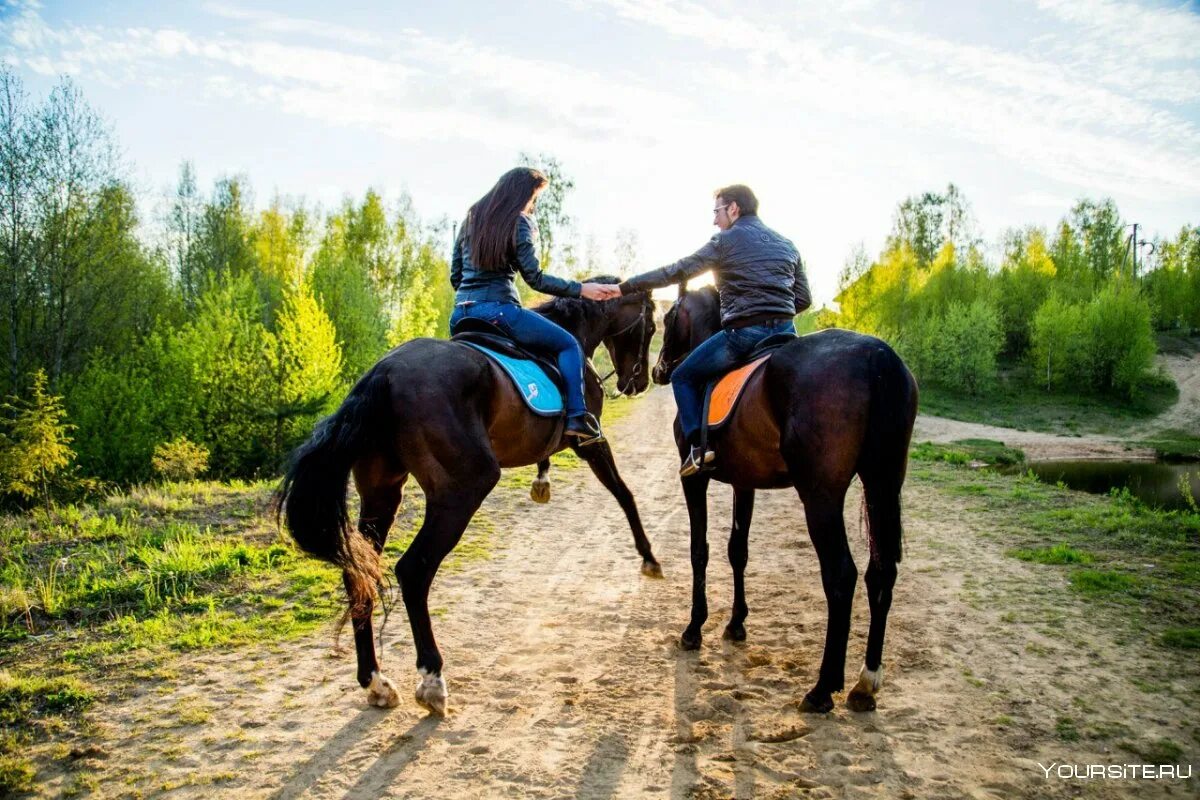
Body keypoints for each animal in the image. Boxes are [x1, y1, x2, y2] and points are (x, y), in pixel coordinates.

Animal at [277, 281, 662, 714]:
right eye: (651, 326)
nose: (638, 383)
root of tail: (382, 373)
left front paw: (542, 483)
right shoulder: (591, 442)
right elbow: (624, 493)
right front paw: (649, 557)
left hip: (381, 495)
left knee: (358, 572)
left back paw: (376, 682)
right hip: (462, 490)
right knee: (413, 570)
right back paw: (431, 679)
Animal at [652, 286, 912, 714]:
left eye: (669, 317)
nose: (658, 370)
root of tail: (877, 356)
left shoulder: (696, 480)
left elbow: (699, 550)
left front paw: (694, 629)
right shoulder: (744, 483)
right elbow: (737, 550)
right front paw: (736, 623)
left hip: (821, 497)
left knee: (841, 576)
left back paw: (823, 688)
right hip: (882, 484)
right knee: (881, 572)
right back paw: (865, 682)